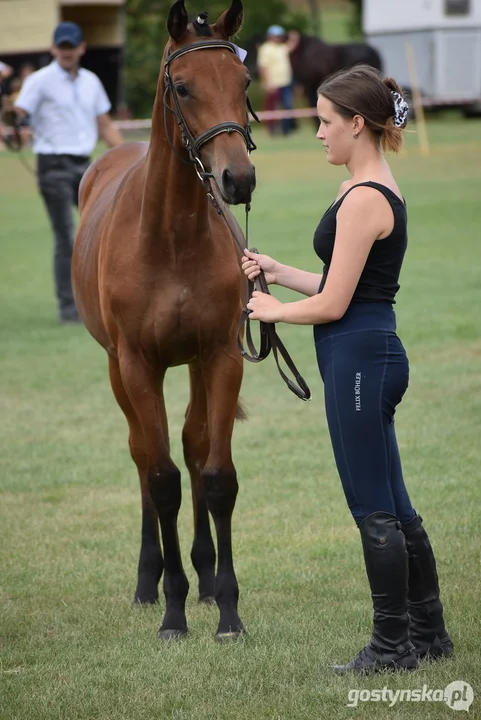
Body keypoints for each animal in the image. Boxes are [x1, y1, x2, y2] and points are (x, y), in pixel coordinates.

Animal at [71, 0, 255, 640]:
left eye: (244, 82)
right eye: (182, 86)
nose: (238, 179)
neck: (172, 238)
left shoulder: (221, 355)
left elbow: (216, 474)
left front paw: (227, 610)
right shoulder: (138, 364)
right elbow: (162, 480)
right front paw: (172, 611)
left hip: (196, 365)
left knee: (193, 445)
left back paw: (204, 577)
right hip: (114, 369)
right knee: (143, 456)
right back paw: (150, 582)